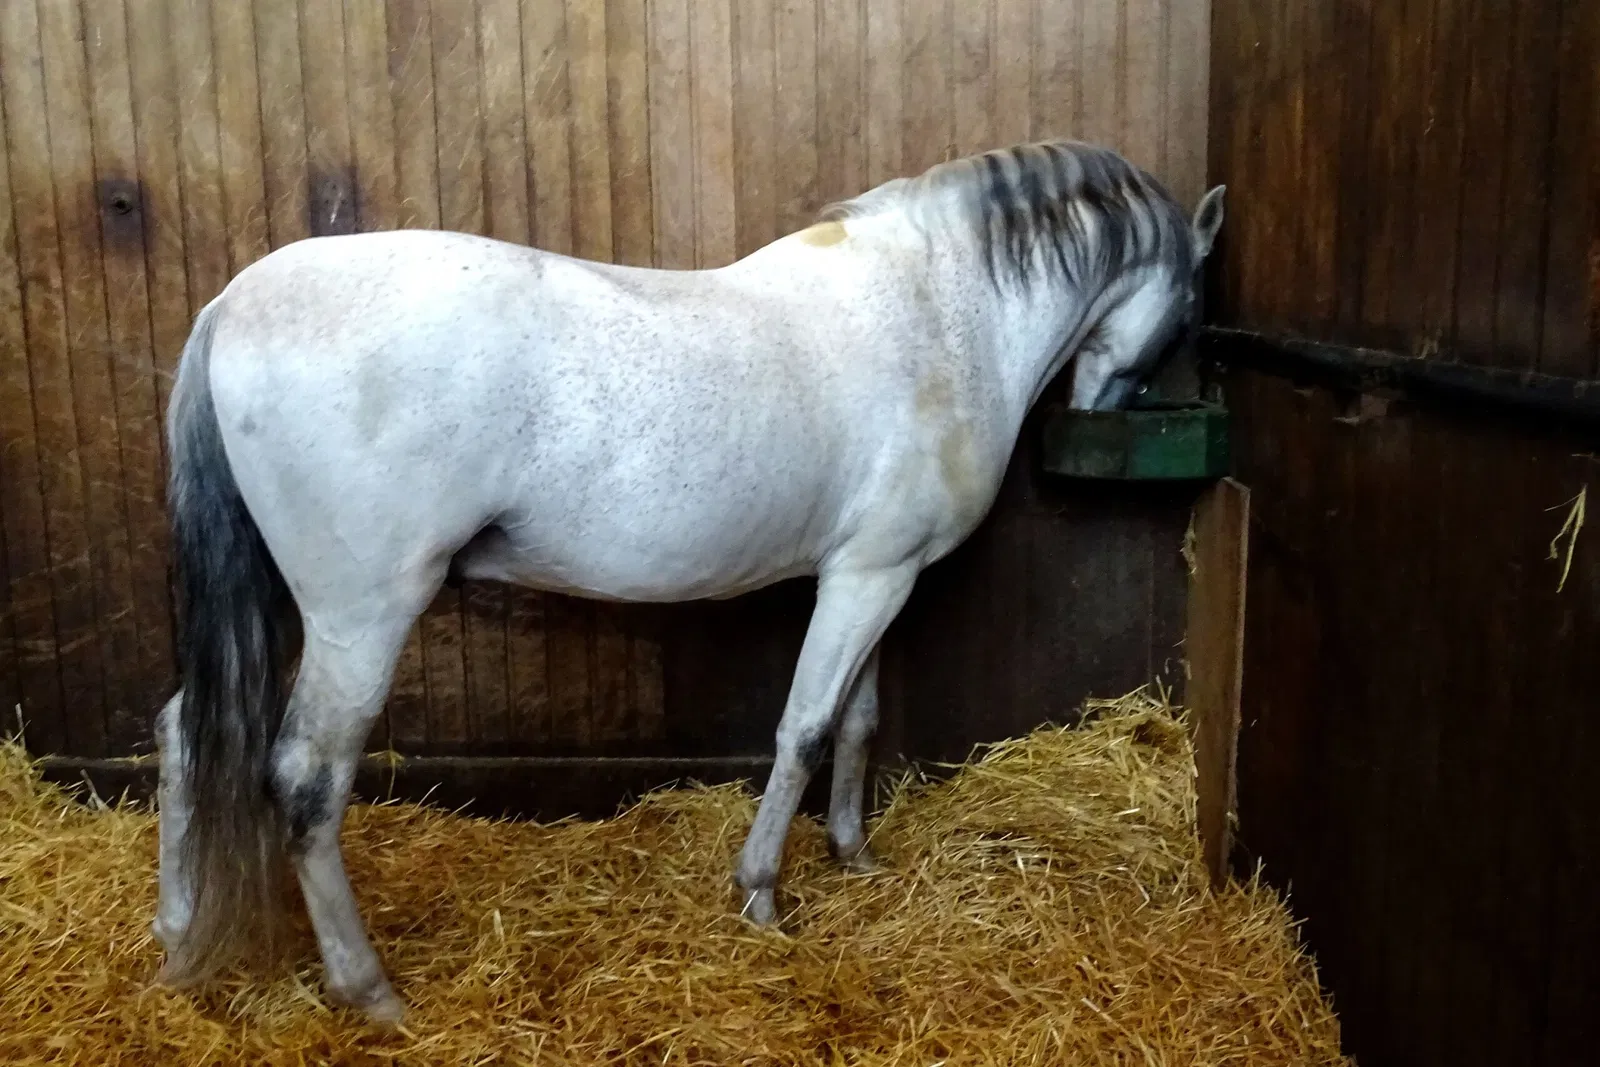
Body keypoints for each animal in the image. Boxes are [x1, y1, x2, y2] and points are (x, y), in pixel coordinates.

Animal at [151, 138, 1224, 1023]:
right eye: (1190, 310)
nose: (1103, 406)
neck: (939, 313)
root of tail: (229, 306)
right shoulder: (867, 580)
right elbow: (805, 728)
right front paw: (761, 892)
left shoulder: (878, 574)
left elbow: (858, 720)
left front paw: (853, 853)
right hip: (360, 616)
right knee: (304, 778)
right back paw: (368, 989)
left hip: (295, 605)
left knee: (184, 730)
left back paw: (175, 936)